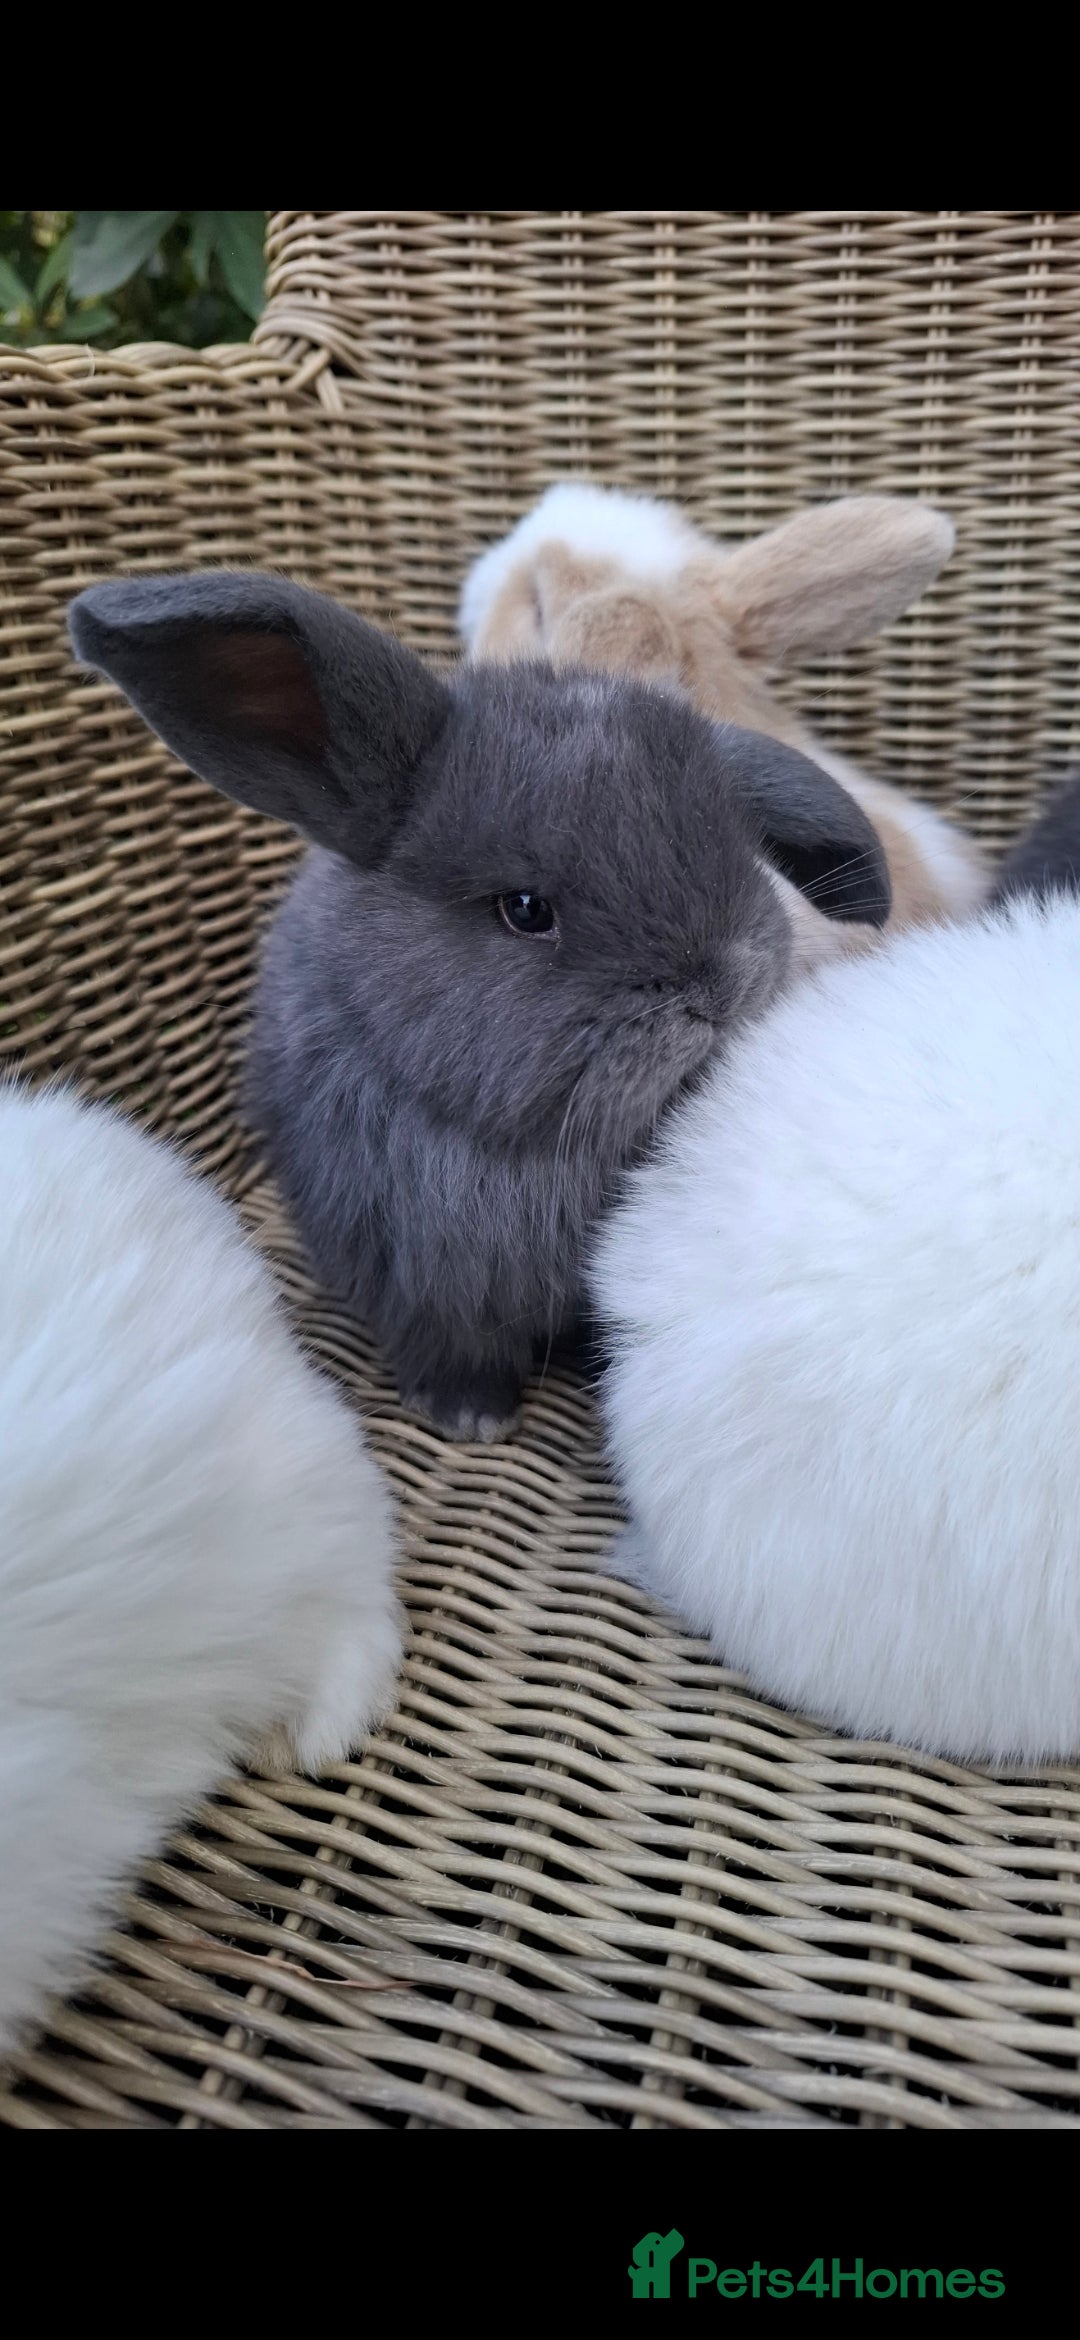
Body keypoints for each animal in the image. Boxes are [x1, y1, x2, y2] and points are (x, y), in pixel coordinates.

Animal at [68, 571, 894, 1444]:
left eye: (737, 845)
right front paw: (469, 1417)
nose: (726, 982)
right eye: (525, 909)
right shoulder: (413, 1282)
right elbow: (449, 1347)